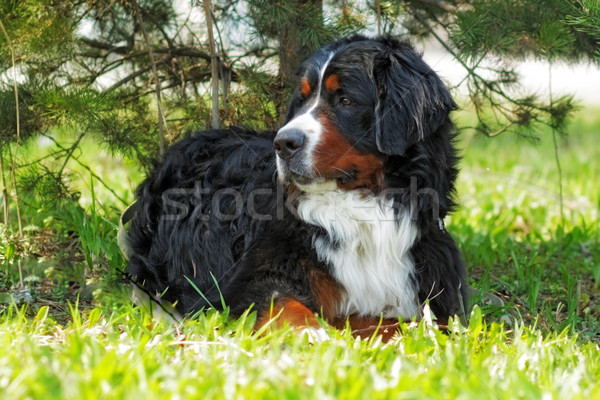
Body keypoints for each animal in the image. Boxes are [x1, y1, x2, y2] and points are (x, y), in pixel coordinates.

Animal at [126, 35, 468, 338]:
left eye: (345, 100)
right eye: (302, 101)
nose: (283, 143)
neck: (363, 210)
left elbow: (407, 323)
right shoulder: (244, 282)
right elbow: (283, 302)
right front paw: (310, 333)